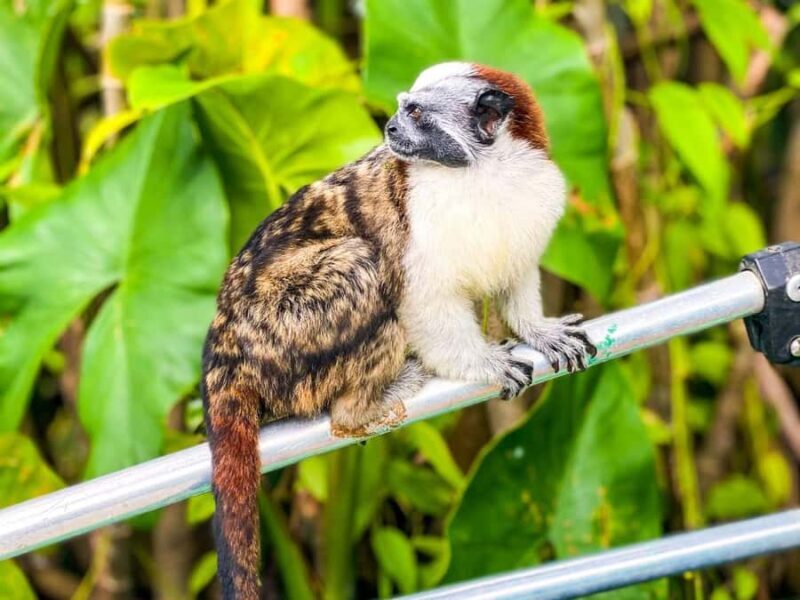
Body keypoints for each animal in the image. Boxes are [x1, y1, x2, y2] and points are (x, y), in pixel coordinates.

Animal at [202, 62, 597, 599]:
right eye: (400, 109)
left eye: (415, 114)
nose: (389, 128)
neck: (485, 175)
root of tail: (225, 344)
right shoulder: (423, 224)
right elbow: (423, 300)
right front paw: (482, 363)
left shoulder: (532, 198)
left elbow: (514, 274)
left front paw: (538, 330)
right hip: (282, 335)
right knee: (363, 266)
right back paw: (358, 409)